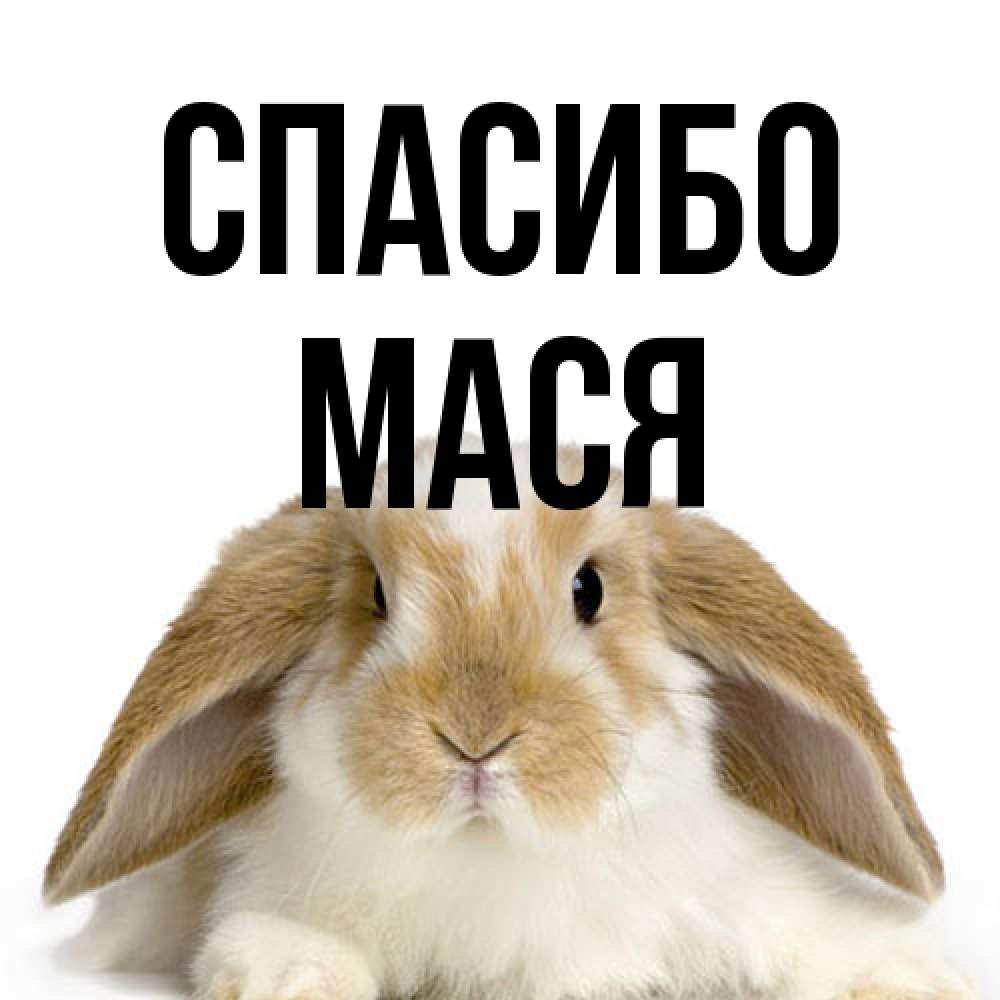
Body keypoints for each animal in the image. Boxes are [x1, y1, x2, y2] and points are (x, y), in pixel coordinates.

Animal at [45, 441, 975, 1000]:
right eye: (376, 595)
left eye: (589, 590)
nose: (475, 737)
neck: (495, 858)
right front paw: (289, 976)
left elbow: (816, 938)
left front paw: (908, 978)